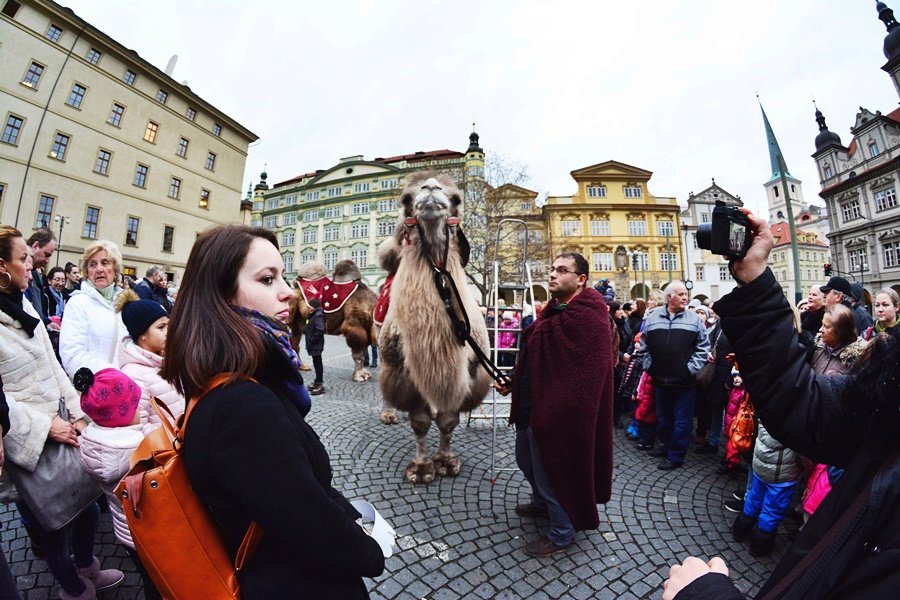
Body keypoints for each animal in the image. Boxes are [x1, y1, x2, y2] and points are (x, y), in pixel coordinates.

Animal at [380, 170, 492, 482]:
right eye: (406, 198)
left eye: (456, 198)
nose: (430, 188)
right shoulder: (404, 374)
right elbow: (419, 422)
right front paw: (421, 468)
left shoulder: (469, 373)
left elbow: (448, 420)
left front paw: (446, 461)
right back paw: (388, 414)